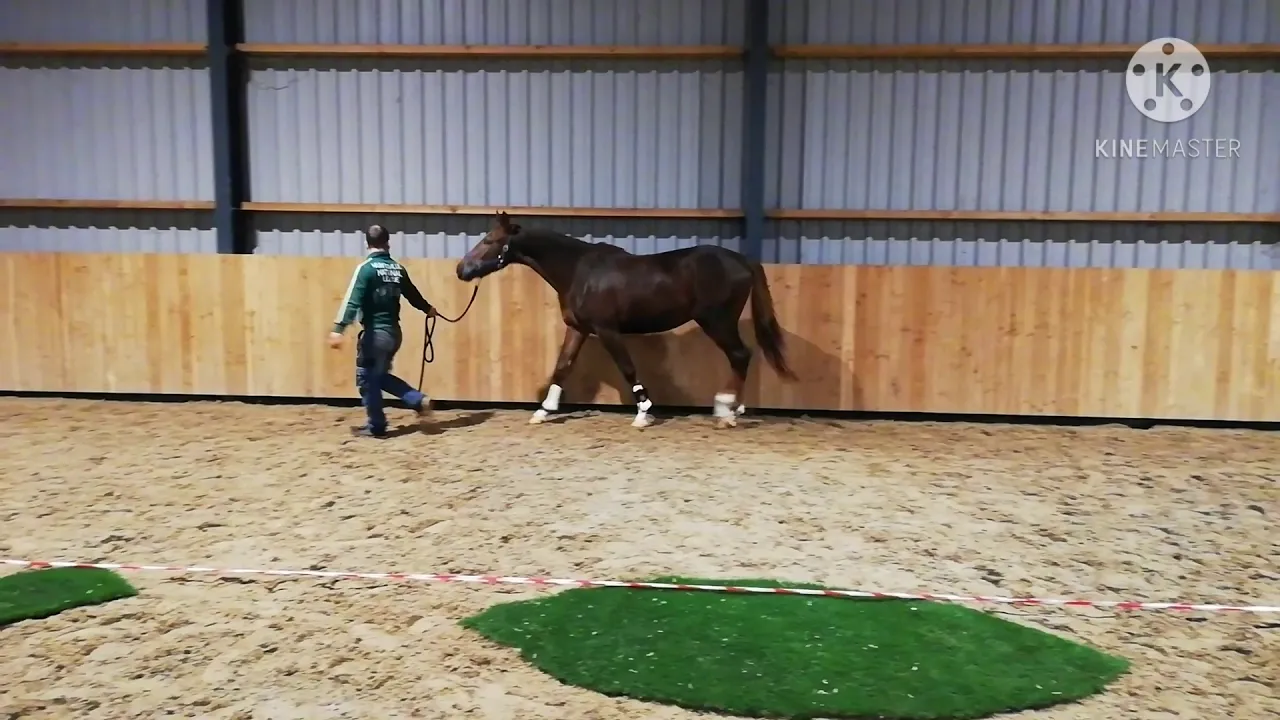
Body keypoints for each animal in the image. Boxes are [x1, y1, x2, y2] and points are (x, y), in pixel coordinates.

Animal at [455, 211, 797, 428]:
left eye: (489, 241)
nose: (462, 269)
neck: (579, 270)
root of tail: (742, 260)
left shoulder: (607, 330)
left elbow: (627, 367)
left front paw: (643, 413)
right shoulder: (578, 329)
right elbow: (563, 366)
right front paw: (543, 411)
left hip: (717, 321)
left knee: (740, 355)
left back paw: (725, 409)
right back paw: (734, 410)